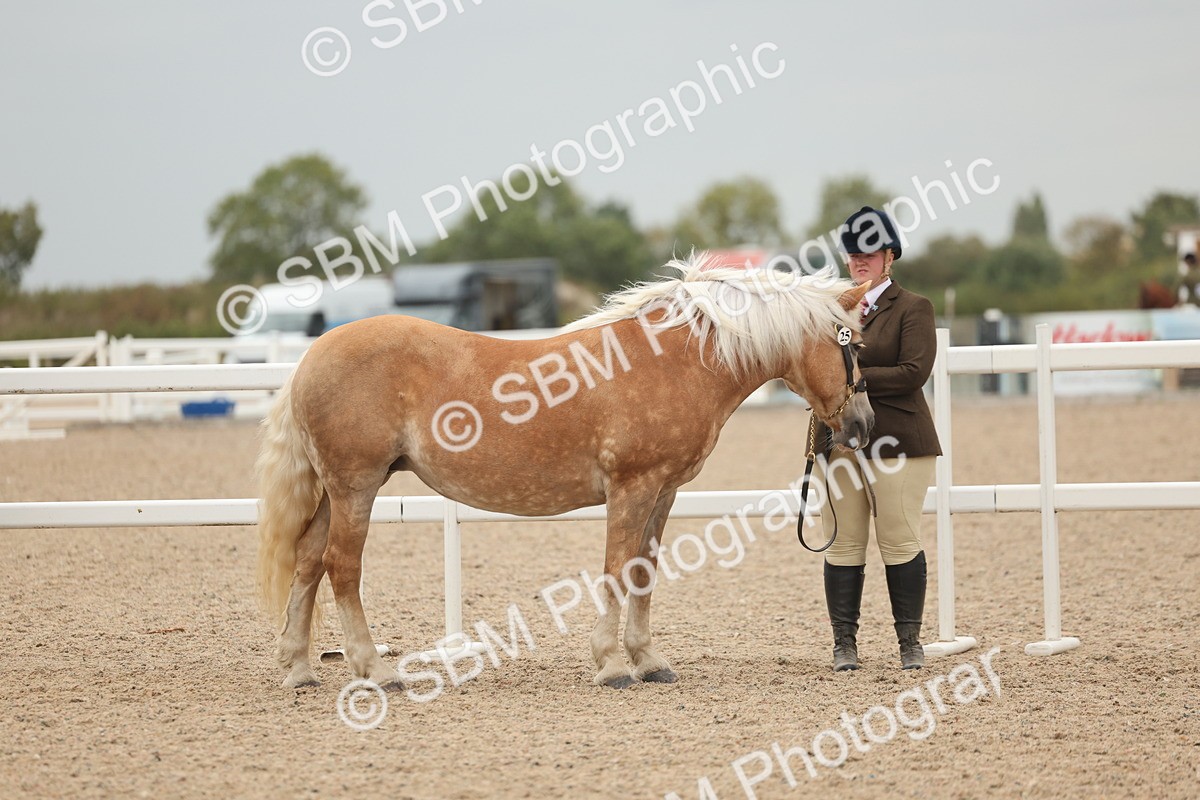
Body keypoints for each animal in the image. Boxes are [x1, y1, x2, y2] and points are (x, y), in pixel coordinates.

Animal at [255, 255, 874, 690]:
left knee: (309, 561)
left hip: (339, 490)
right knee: (342, 567)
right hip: (356, 486)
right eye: (852, 344)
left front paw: (649, 661)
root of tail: (308, 359)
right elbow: (617, 569)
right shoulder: (632, 488)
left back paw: (300, 669)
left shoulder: (664, 492)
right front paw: (611, 665)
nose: (864, 425)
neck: (676, 361)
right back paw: (376, 672)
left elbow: (645, 570)